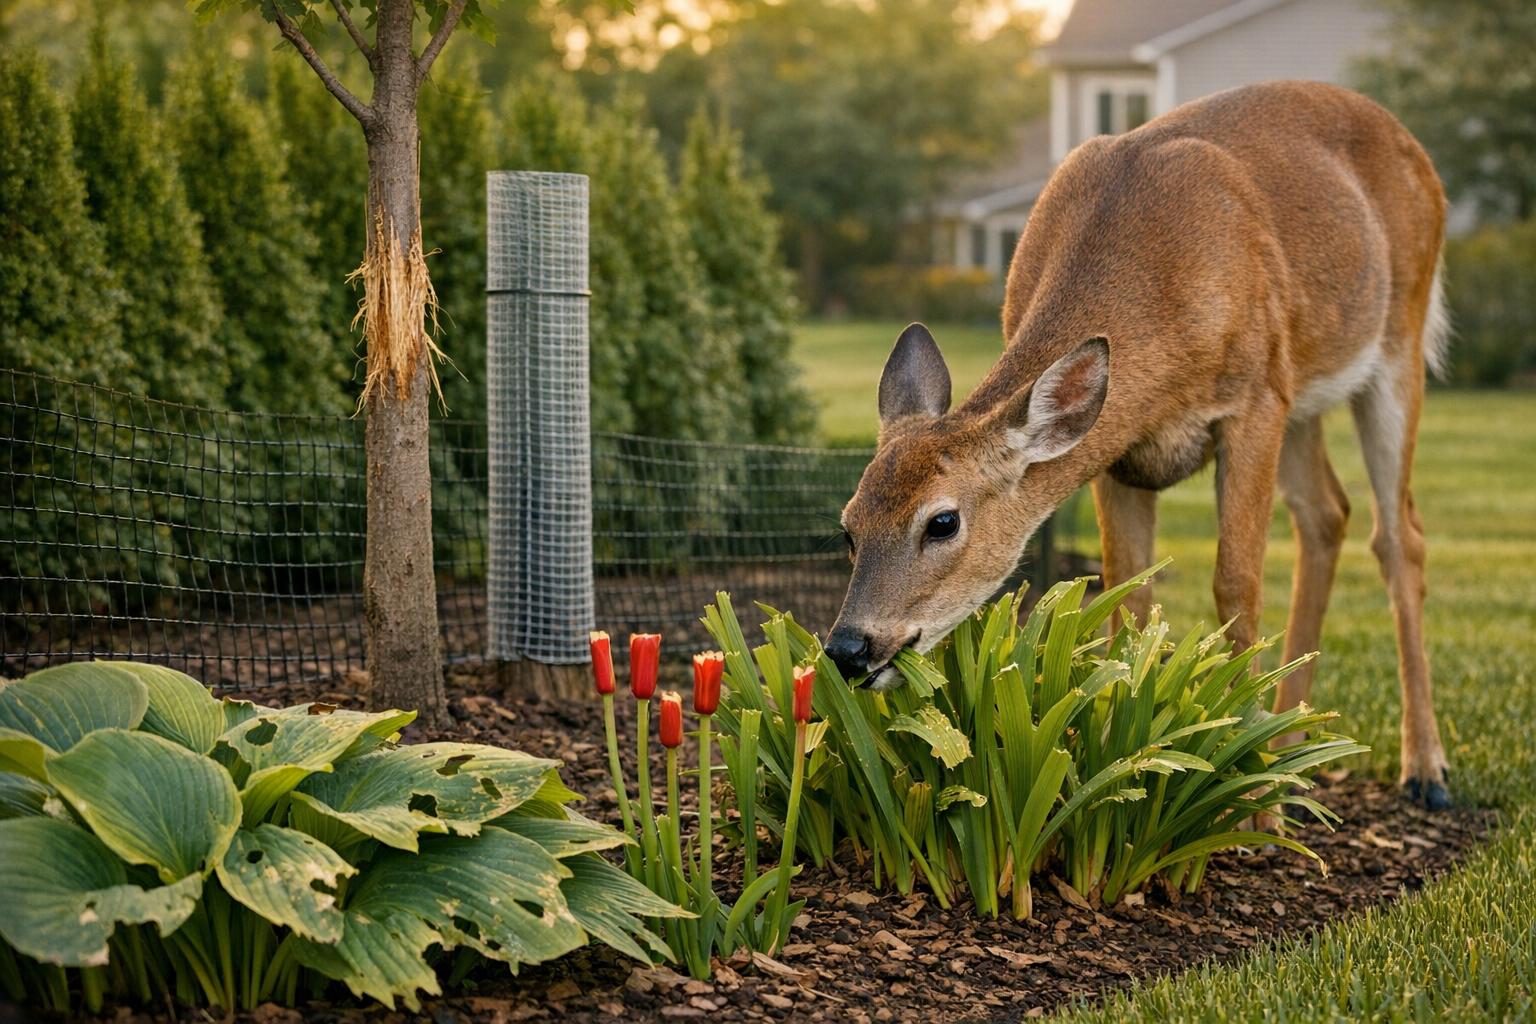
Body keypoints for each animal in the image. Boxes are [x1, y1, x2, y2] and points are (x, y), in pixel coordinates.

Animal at [825, 81, 1452, 810]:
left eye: (943, 521)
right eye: (848, 526)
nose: (849, 648)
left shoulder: (1256, 397)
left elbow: (1236, 586)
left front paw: (1250, 803)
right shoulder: (1114, 449)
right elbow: (1126, 596)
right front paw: (1125, 774)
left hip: (1397, 340)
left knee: (1400, 536)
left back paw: (1423, 770)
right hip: (1306, 391)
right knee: (1328, 513)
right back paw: (1293, 748)